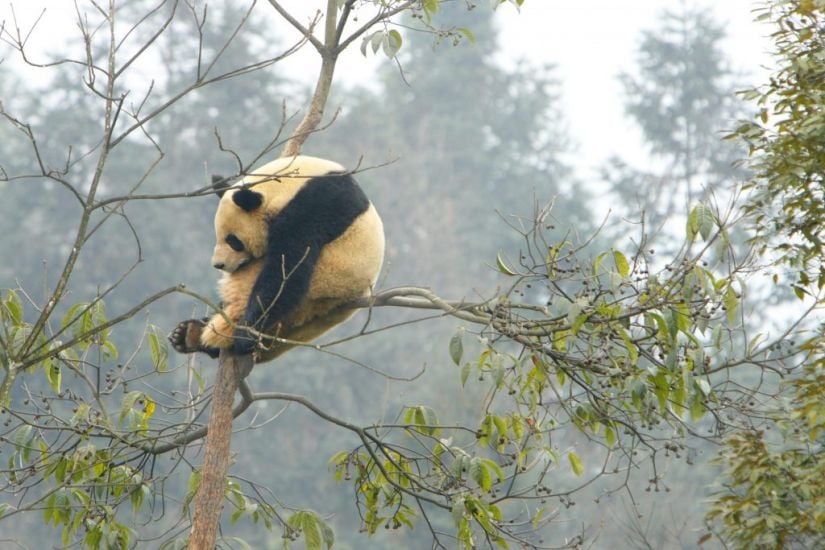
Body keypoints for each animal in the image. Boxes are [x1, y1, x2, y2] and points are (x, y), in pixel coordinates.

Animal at [170, 154, 386, 366]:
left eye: (233, 240)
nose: (219, 264)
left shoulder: (315, 207)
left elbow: (287, 268)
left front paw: (245, 335)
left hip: (323, 281)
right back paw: (188, 334)